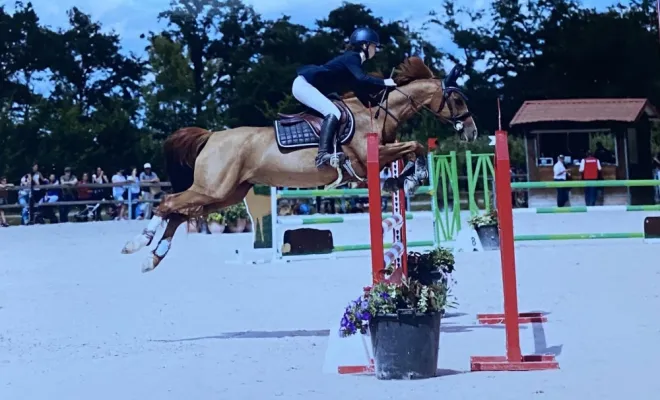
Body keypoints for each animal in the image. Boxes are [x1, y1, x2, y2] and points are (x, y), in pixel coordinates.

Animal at [121, 55, 476, 272]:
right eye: (458, 99)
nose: (472, 132)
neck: (375, 113)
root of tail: (211, 136)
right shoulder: (368, 160)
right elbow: (415, 146)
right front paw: (412, 178)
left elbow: (412, 150)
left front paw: (402, 180)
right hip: (213, 188)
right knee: (168, 202)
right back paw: (137, 243)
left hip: (225, 194)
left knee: (179, 213)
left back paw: (153, 258)